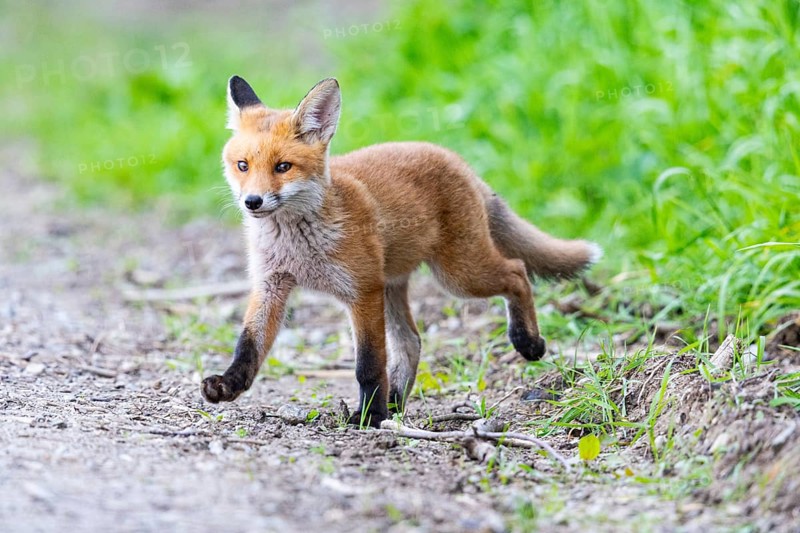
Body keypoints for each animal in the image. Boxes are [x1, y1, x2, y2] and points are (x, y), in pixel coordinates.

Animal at [201, 76, 601, 426]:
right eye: (242, 166)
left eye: (283, 167)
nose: (252, 202)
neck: (298, 244)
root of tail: (458, 161)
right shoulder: (271, 285)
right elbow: (248, 346)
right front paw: (228, 385)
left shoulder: (362, 291)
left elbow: (368, 365)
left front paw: (370, 417)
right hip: (395, 285)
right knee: (411, 342)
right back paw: (396, 403)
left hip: (458, 275)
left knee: (517, 271)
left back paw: (527, 342)